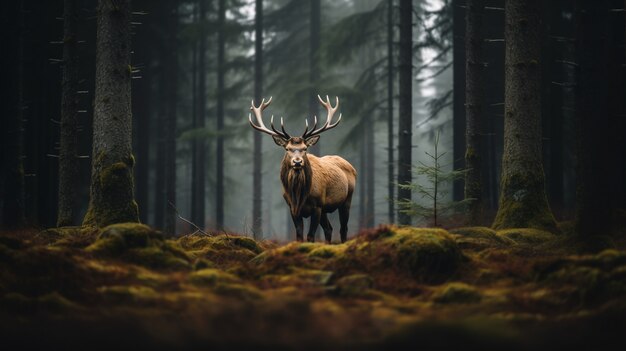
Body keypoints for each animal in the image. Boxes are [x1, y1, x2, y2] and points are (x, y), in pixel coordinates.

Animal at [249, 96, 356, 245]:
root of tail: (351, 167)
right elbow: (299, 235)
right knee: (329, 229)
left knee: (343, 228)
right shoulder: (292, 207)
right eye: (287, 148)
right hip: (325, 209)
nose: (297, 162)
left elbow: (310, 236)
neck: (299, 195)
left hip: (347, 198)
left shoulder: (317, 206)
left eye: (305, 148)